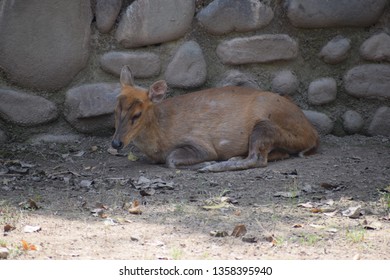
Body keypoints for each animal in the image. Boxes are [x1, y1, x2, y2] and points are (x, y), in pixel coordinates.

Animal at [111, 65, 318, 172]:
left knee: (258, 159)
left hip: (265, 125)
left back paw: (215, 166)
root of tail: (313, 135)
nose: (116, 143)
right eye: (115, 109)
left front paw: (207, 163)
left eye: (137, 114)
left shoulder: (200, 142)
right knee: (276, 154)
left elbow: (171, 160)